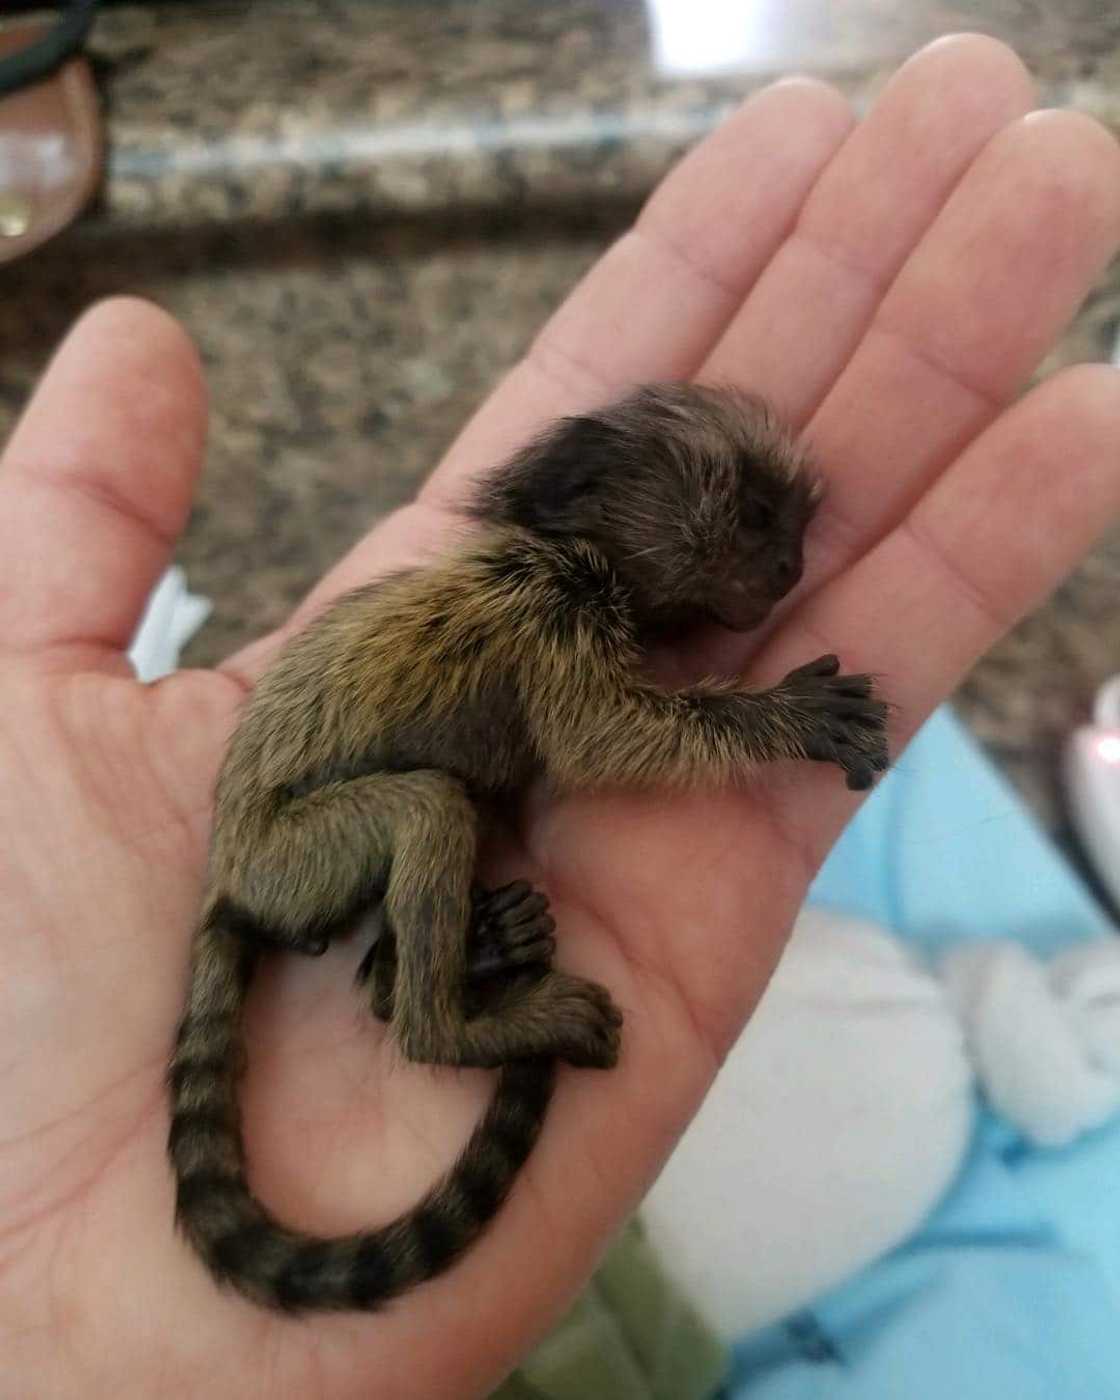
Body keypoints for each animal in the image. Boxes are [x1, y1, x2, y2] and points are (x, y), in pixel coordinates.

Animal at [167, 381, 890, 1315]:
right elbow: (604, 742)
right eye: (759, 514)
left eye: (793, 527)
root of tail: (229, 875)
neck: (568, 547)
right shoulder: (557, 610)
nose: (791, 568)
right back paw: (452, 1022)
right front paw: (785, 718)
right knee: (430, 812)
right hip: (292, 856)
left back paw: (460, 957)